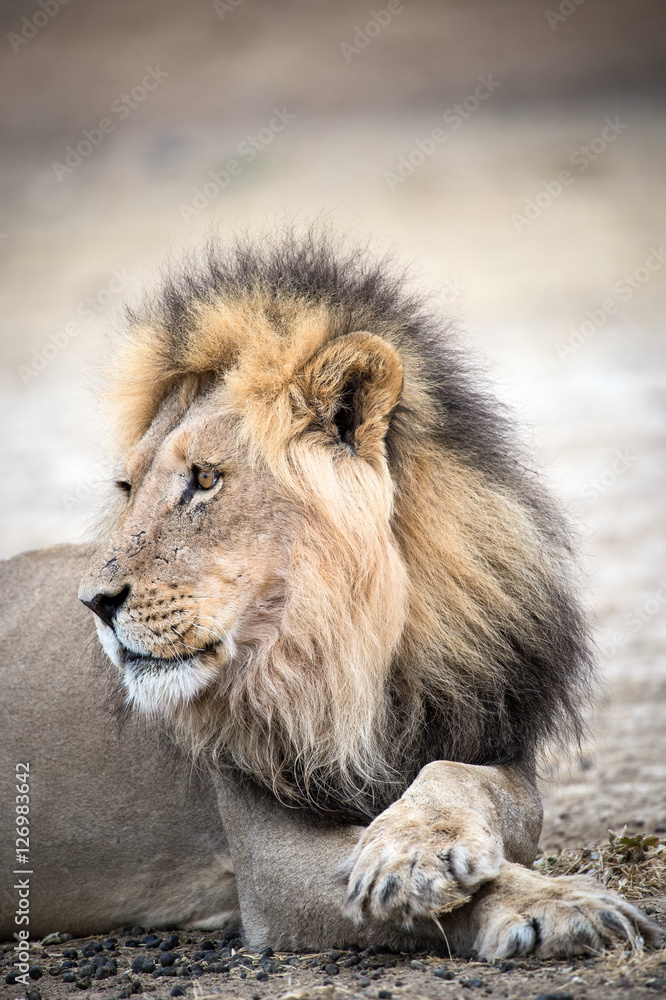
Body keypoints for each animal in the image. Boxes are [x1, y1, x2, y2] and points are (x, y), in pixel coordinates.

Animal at [0, 231, 661, 957]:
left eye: (204, 478)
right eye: (126, 489)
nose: (94, 601)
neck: (347, 658)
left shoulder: (493, 746)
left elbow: (458, 776)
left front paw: (414, 847)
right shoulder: (267, 864)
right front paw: (557, 904)